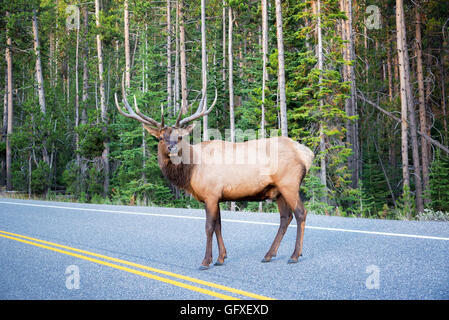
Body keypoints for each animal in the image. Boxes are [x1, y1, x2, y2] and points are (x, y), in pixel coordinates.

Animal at [114, 82, 314, 270]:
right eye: (161, 138)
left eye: (180, 137)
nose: (172, 149)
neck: (191, 171)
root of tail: (307, 153)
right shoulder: (214, 196)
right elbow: (219, 226)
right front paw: (220, 258)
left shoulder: (211, 194)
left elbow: (209, 227)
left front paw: (205, 261)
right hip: (277, 190)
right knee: (285, 217)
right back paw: (269, 254)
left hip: (289, 183)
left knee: (300, 213)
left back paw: (295, 255)